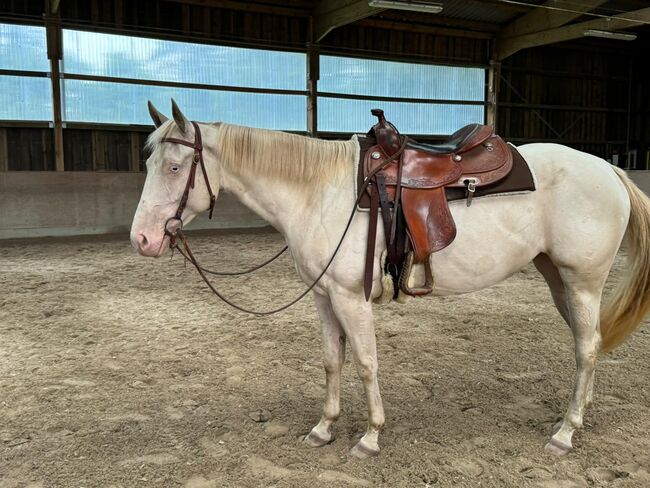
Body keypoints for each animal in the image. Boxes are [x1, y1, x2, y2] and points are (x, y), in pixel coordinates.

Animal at [130, 101, 648, 460]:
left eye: (174, 167)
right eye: (150, 164)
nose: (143, 239)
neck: (321, 191)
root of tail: (608, 169)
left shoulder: (350, 297)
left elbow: (365, 362)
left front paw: (370, 436)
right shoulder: (323, 297)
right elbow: (331, 362)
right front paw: (324, 428)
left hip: (583, 281)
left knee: (587, 347)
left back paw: (565, 432)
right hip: (558, 278)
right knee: (587, 342)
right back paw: (577, 415)